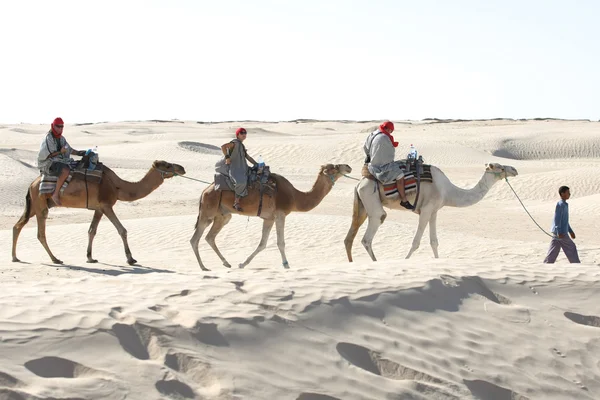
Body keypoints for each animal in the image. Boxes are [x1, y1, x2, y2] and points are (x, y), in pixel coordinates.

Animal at [12, 159, 185, 266]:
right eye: (167, 165)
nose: (182, 168)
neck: (118, 186)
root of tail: (32, 184)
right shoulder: (107, 205)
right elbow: (122, 230)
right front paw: (130, 259)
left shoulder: (98, 208)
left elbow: (91, 231)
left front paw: (90, 257)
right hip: (40, 203)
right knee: (40, 233)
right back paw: (55, 259)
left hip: (35, 205)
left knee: (18, 226)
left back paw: (15, 257)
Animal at [191, 163, 352, 272]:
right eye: (335, 167)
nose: (348, 167)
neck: (295, 197)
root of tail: (205, 191)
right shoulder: (281, 214)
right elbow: (280, 243)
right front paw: (286, 265)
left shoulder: (269, 218)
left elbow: (262, 244)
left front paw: (242, 264)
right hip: (208, 212)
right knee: (195, 239)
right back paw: (203, 267)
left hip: (223, 215)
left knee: (210, 237)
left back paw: (226, 263)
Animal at [344, 161, 516, 260]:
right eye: (501, 167)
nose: (514, 169)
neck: (447, 191)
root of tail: (359, 184)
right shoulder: (426, 210)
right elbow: (416, 243)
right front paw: (405, 261)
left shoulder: (434, 211)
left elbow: (434, 242)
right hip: (371, 198)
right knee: (370, 232)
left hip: (362, 204)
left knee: (350, 237)